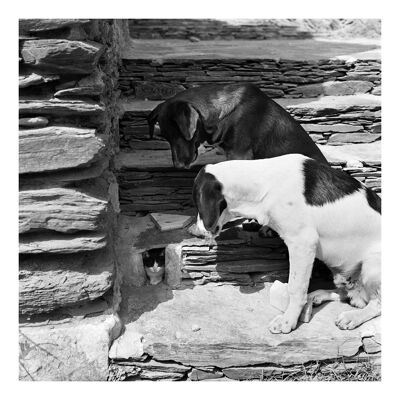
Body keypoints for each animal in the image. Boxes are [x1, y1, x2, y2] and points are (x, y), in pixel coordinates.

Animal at [194, 155, 382, 332]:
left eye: (197, 201)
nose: (197, 231)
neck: (264, 184)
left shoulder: (303, 243)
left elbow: (295, 287)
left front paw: (288, 320)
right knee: (346, 293)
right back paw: (318, 295)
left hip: (372, 264)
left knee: (376, 305)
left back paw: (353, 316)